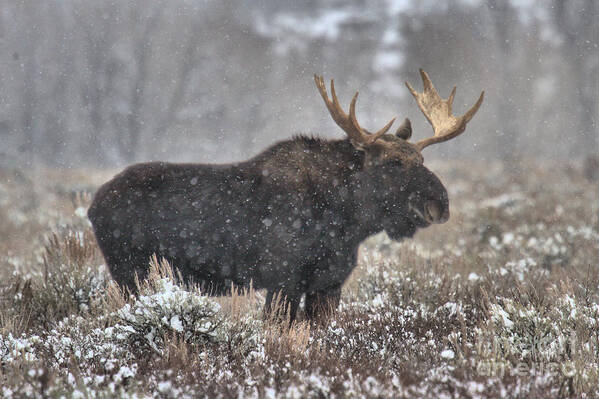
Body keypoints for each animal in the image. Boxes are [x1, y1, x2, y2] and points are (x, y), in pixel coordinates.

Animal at [88, 69, 482, 322]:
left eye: (421, 159)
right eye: (394, 162)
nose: (439, 204)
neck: (347, 222)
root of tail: (93, 205)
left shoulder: (329, 284)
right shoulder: (282, 279)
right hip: (130, 272)